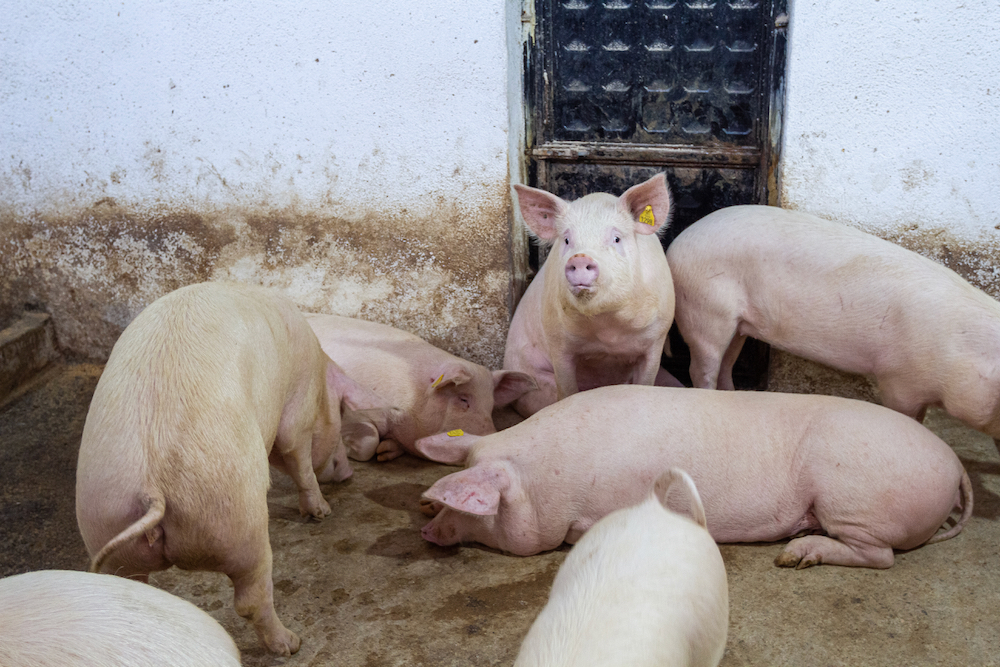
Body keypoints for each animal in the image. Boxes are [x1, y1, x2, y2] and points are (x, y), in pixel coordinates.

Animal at [76, 280, 356, 656]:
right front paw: (322, 512)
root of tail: (153, 486)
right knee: (251, 598)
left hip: (104, 522)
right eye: (340, 415)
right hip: (236, 521)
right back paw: (291, 644)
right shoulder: (297, 405)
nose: (349, 472)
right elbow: (297, 454)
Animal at [418, 386, 972, 568]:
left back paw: (795, 556)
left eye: (475, 507)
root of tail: (954, 463)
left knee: (881, 558)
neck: (544, 482)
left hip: (853, 501)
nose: (427, 529)